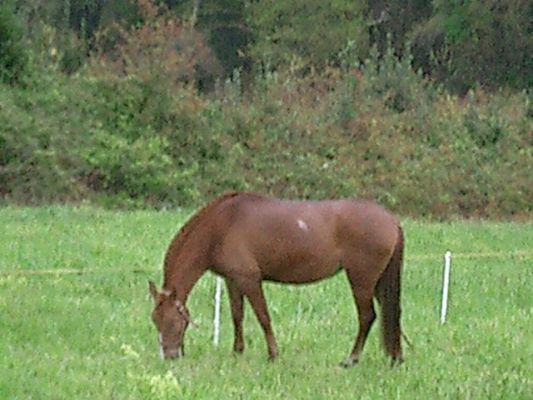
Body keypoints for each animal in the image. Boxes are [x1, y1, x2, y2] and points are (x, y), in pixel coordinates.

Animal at [149, 192, 404, 368]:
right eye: (155, 320)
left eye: (172, 321)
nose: (169, 357)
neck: (221, 226)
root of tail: (391, 219)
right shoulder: (233, 281)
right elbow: (237, 316)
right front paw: (237, 351)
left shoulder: (250, 280)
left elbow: (263, 317)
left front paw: (273, 354)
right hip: (379, 283)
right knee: (392, 315)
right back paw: (396, 358)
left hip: (361, 280)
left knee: (367, 317)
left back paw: (351, 359)